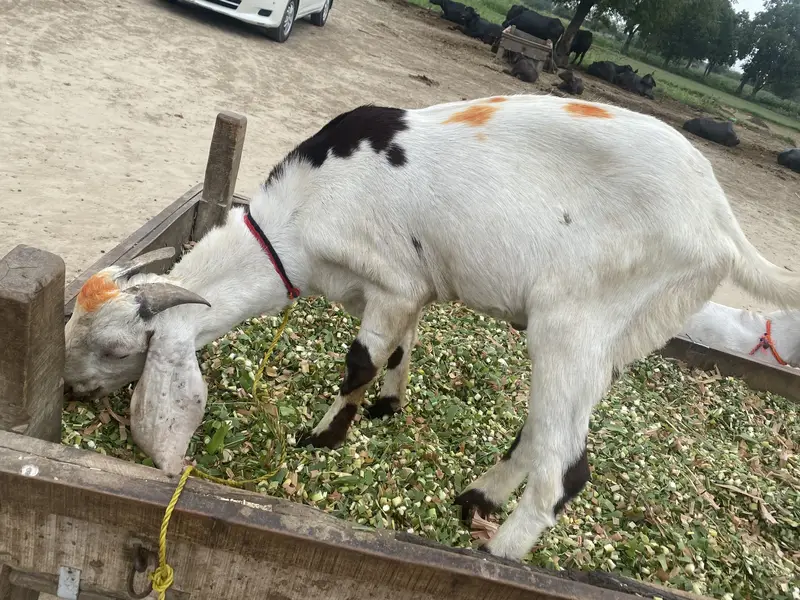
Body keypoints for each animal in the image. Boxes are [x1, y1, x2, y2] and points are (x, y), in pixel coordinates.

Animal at [63, 94, 800, 561]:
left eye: (117, 347)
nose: (70, 389)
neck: (295, 220)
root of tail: (719, 220)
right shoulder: (405, 291)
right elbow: (396, 352)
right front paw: (387, 408)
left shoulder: (391, 280)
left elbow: (359, 361)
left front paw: (322, 438)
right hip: (625, 335)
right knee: (539, 433)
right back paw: (475, 498)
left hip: (574, 321)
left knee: (568, 469)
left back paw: (498, 554)